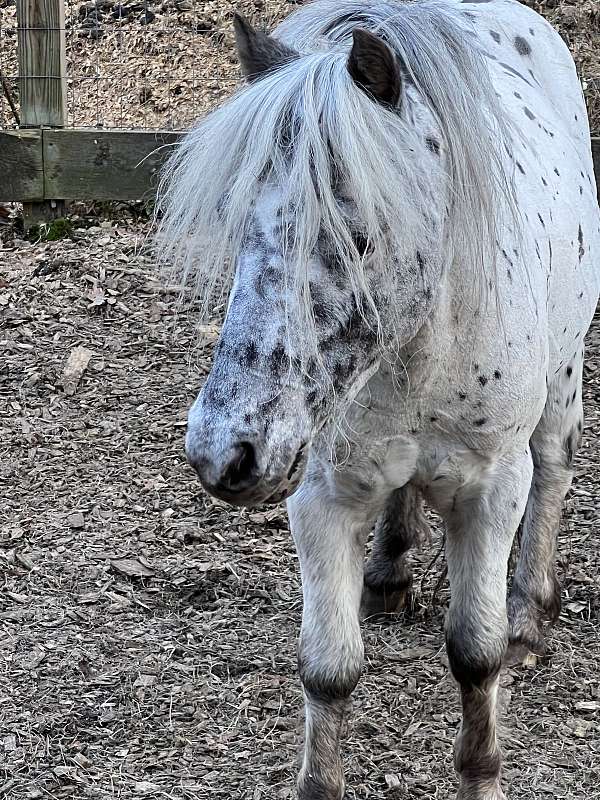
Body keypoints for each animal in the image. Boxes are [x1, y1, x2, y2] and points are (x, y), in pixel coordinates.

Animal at [156, 3, 600, 796]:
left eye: (356, 236)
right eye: (242, 232)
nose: (225, 453)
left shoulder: (492, 490)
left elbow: (475, 653)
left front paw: (481, 773)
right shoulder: (322, 496)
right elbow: (328, 670)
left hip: (565, 372)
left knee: (553, 467)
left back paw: (529, 613)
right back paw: (389, 572)